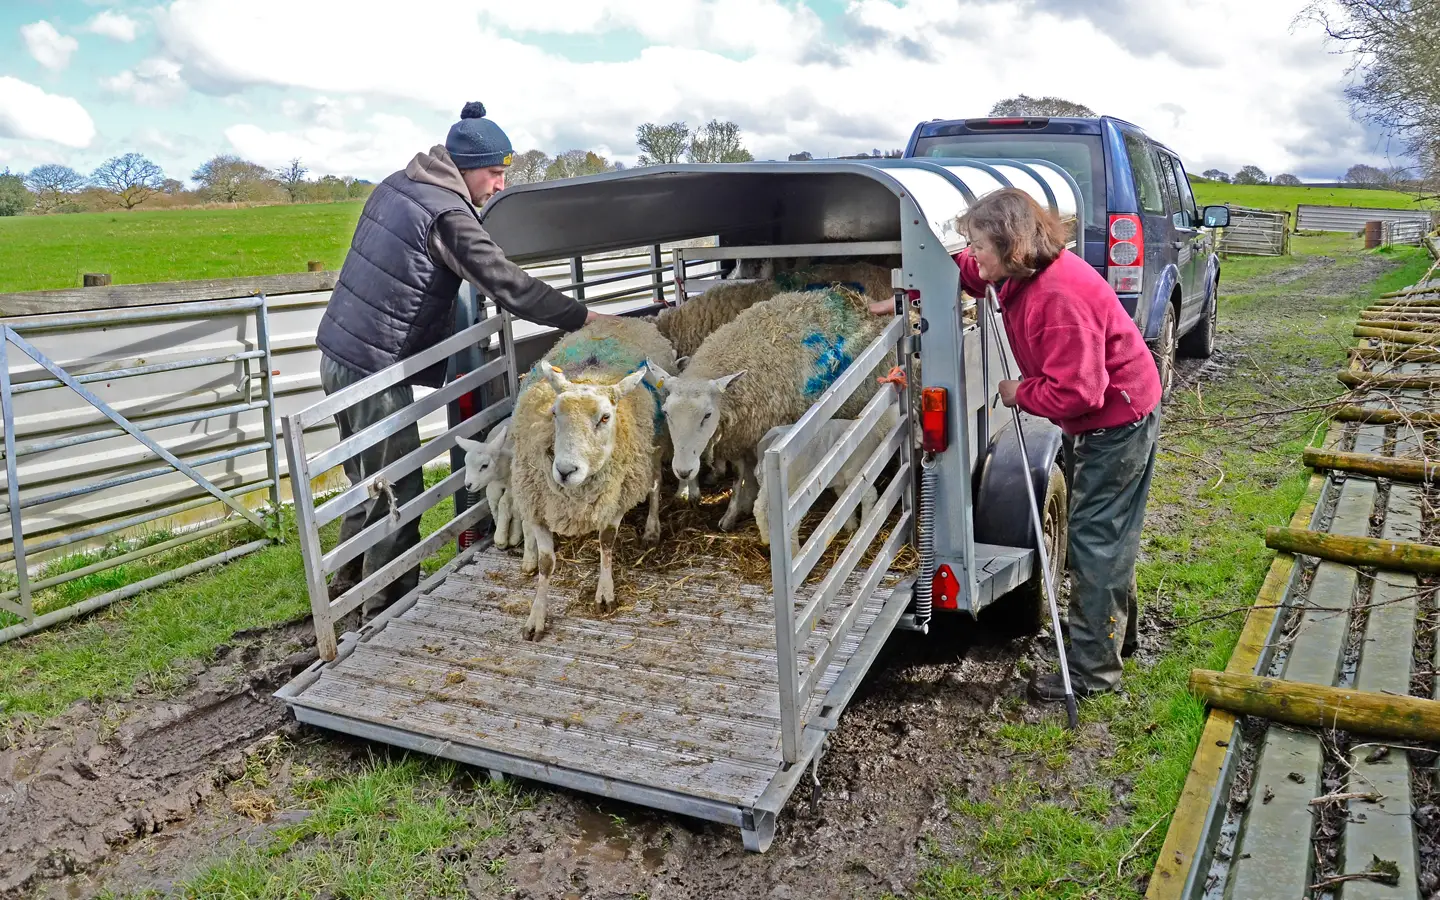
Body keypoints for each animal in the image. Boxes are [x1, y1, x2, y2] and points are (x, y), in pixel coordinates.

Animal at [455, 420, 526, 550]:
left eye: (484, 465)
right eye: (466, 463)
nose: (468, 485)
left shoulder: (513, 488)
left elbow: (504, 504)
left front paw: (505, 537)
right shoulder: (493, 486)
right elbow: (494, 503)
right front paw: (500, 529)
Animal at [509, 316, 678, 640]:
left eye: (605, 417)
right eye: (554, 413)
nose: (565, 471)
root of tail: (623, 318)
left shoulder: (617, 498)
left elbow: (606, 542)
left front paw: (604, 593)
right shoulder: (538, 504)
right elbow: (547, 564)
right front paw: (536, 616)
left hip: (655, 447)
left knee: (654, 483)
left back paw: (652, 528)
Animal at [649, 286, 892, 533]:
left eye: (707, 415)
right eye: (666, 412)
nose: (683, 471)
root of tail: (860, 301)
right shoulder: (742, 438)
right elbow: (739, 476)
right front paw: (733, 512)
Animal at [752, 404, 899, 555]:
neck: (878, 426)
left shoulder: (842, 480)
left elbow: (845, 502)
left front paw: (850, 526)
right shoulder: (858, 472)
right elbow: (869, 497)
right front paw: (866, 525)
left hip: (768, 485)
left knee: (759, 506)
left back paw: (766, 538)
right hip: (795, 490)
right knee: (791, 524)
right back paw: (795, 552)